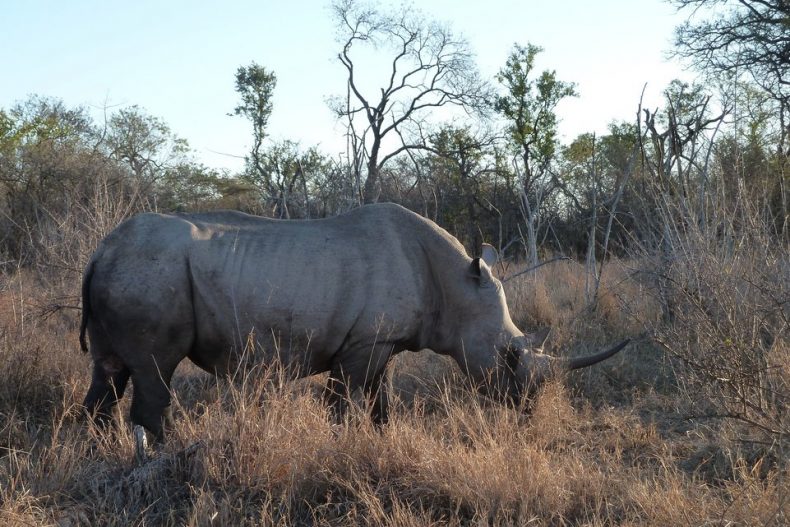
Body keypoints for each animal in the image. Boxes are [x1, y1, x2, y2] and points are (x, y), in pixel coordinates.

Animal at [80, 203, 628, 438]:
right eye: (511, 356)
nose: (526, 410)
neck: (457, 288)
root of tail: (100, 250)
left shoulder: (383, 341)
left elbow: (381, 402)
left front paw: (382, 441)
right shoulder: (362, 343)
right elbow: (344, 404)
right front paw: (342, 445)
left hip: (128, 270)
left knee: (109, 372)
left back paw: (98, 450)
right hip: (150, 272)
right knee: (154, 371)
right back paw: (161, 458)